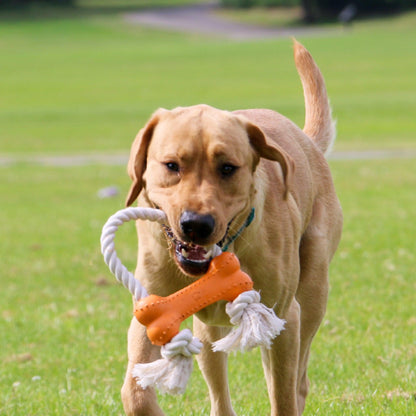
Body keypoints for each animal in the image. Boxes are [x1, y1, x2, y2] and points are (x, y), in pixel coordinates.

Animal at [119, 41, 342, 416]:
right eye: (171, 166)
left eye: (227, 168)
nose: (196, 225)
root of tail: (307, 141)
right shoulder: (153, 310)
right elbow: (135, 393)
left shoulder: (283, 318)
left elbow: (283, 396)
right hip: (208, 330)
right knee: (219, 391)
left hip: (313, 292)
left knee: (297, 381)